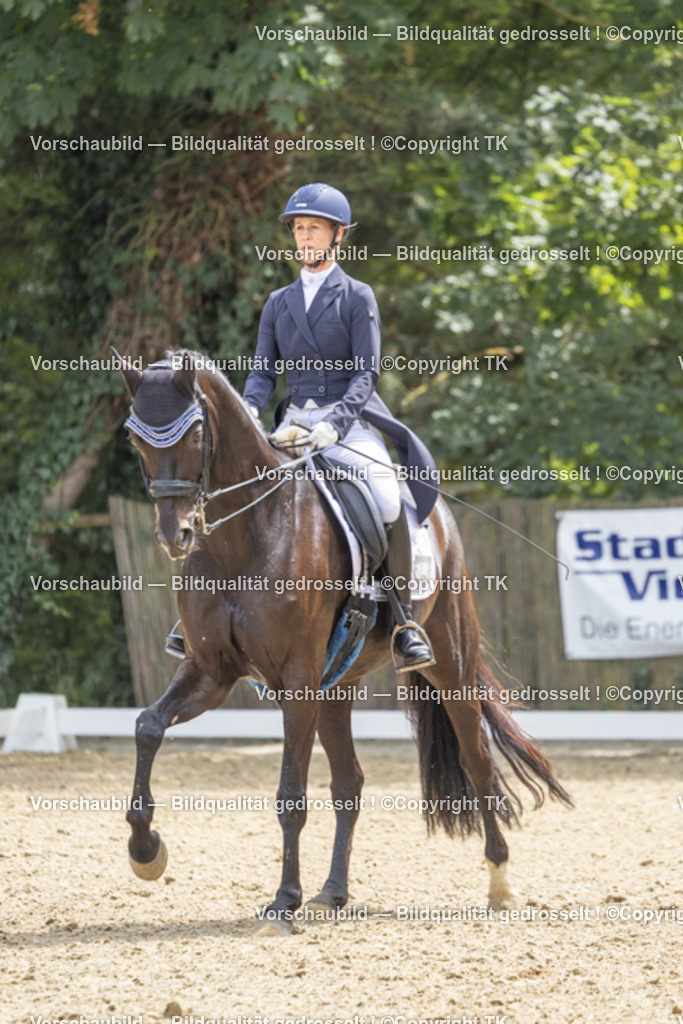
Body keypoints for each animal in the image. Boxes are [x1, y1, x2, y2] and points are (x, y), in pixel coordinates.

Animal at [115, 347, 572, 933]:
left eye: (195, 433)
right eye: (135, 439)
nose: (176, 537)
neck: (249, 535)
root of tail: (440, 516)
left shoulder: (296, 681)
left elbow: (291, 794)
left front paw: (282, 902)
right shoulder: (211, 672)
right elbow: (148, 726)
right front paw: (145, 850)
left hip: (448, 663)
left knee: (477, 760)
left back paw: (500, 884)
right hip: (335, 688)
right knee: (349, 782)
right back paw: (332, 892)